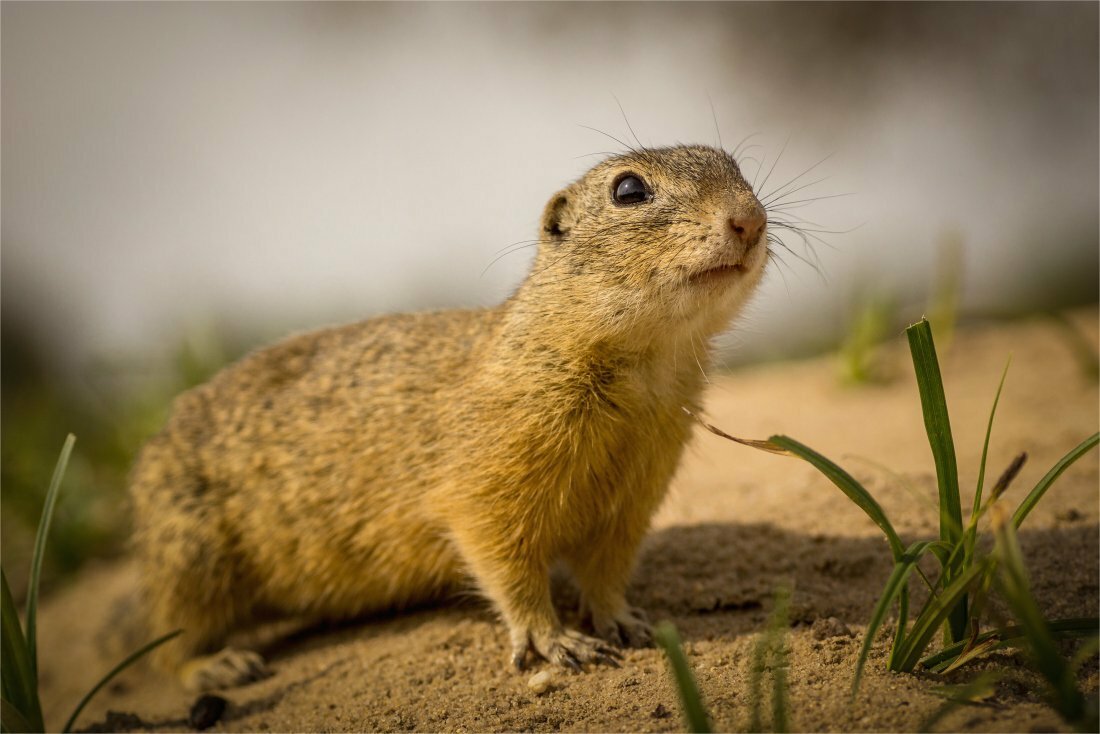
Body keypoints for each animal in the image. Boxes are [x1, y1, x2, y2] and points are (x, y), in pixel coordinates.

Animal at [126, 143, 765, 691]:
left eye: (738, 167)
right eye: (628, 189)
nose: (750, 219)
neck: (643, 369)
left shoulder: (632, 500)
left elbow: (606, 573)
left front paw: (627, 621)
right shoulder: (485, 489)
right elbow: (509, 569)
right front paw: (556, 641)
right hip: (191, 561)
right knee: (165, 645)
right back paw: (219, 666)